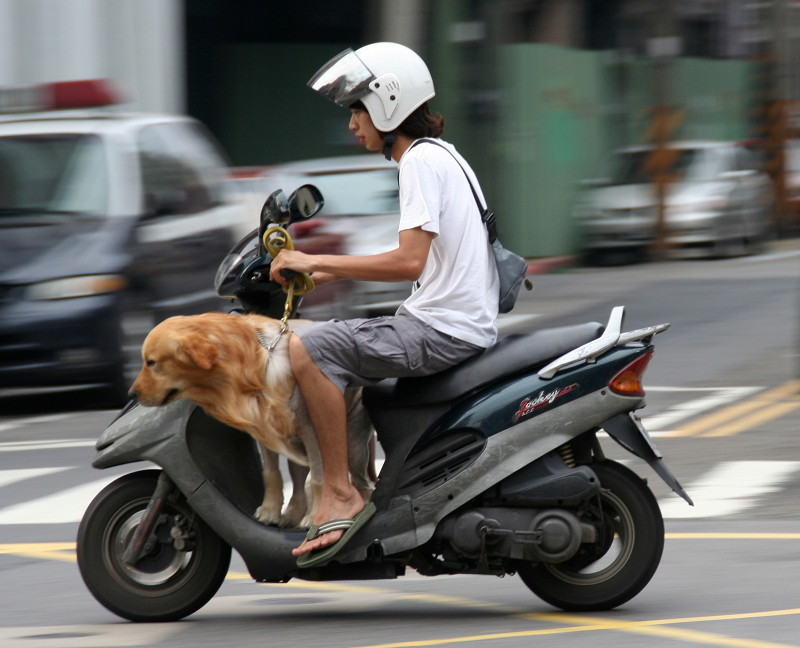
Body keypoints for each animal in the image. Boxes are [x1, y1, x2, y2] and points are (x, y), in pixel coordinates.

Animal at [129, 312, 376, 528]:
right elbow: (271, 473)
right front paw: (269, 511)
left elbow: (319, 478)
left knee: (362, 484)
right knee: (298, 483)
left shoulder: (310, 429)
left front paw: (315, 517)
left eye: (151, 362)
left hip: (352, 445)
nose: (131, 395)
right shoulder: (265, 429)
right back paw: (291, 515)